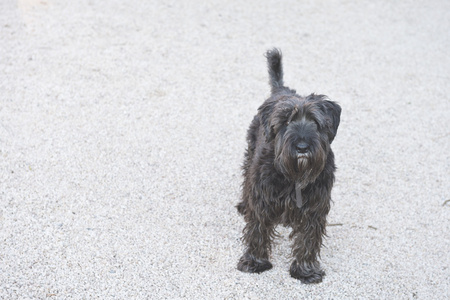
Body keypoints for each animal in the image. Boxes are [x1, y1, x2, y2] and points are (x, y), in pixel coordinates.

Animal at [236, 49, 342, 284]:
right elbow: (257, 230)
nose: (302, 146)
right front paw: (255, 262)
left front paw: (305, 270)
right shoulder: (262, 199)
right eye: (285, 122)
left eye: (315, 122)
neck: (294, 176)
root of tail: (282, 90)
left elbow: (308, 240)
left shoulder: (315, 207)